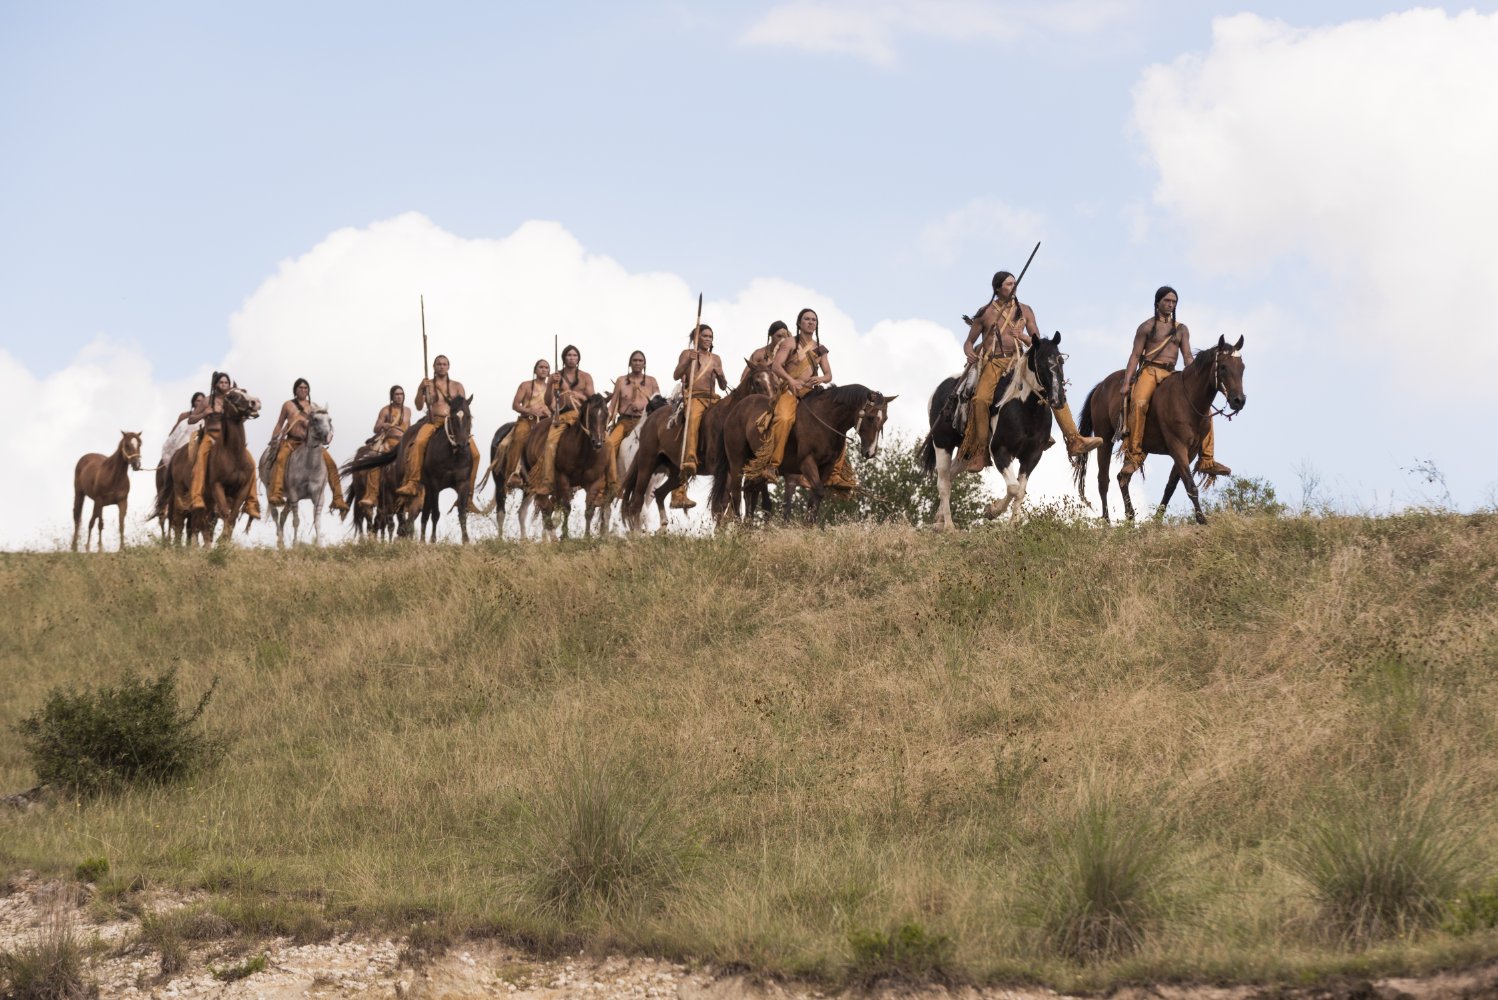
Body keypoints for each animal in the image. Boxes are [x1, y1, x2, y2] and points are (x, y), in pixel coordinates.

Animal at [916, 329, 1072, 529]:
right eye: (1041, 362)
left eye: (1061, 361)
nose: (1058, 399)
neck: (1025, 409)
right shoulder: (1000, 450)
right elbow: (1013, 488)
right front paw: (992, 510)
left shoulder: (1032, 456)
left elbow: (1020, 491)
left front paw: (1013, 525)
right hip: (942, 443)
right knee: (943, 483)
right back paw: (949, 526)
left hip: (967, 453)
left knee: (950, 477)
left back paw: (939, 520)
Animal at [1072, 333, 1246, 523]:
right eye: (1223, 367)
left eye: (1242, 368)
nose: (1239, 400)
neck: (1188, 399)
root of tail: (1101, 386)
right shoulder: (1177, 447)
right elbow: (1190, 486)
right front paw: (1202, 521)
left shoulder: (1191, 452)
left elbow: (1171, 486)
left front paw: (1157, 520)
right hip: (1104, 439)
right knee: (1104, 480)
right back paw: (1107, 521)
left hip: (1139, 447)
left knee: (1123, 477)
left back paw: (1130, 518)